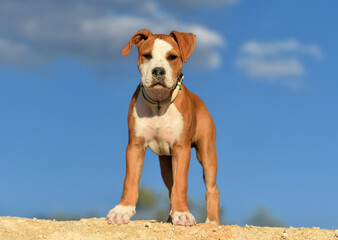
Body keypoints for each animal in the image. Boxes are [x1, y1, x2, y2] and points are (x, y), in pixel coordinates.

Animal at [107, 29, 220, 226]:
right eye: (147, 55)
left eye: (172, 57)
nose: (158, 70)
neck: (159, 102)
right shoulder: (135, 146)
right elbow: (130, 180)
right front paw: (122, 210)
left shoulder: (181, 149)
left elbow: (181, 184)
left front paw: (182, 212)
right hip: (166, 163)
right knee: (170, 187)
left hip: (207, 152)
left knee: (212, 189)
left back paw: (212, 222)